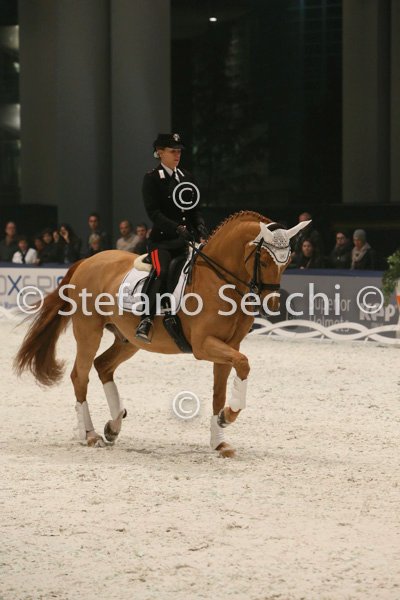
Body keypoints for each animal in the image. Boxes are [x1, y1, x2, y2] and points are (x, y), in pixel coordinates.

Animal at [14, 211, 309, 457]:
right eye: (264, 259)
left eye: (288, 261)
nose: (273, 303)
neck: (220, 281)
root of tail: (88, 260)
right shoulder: (204, 345)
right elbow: (244, 364)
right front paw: (228, 416)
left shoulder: (229, 346)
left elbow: (221, 391)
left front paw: (220, 439)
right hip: (89, 331)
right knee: (80, 375)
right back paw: (90, 434)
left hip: (128, 339)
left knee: (103, 366)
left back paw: (113, 426)